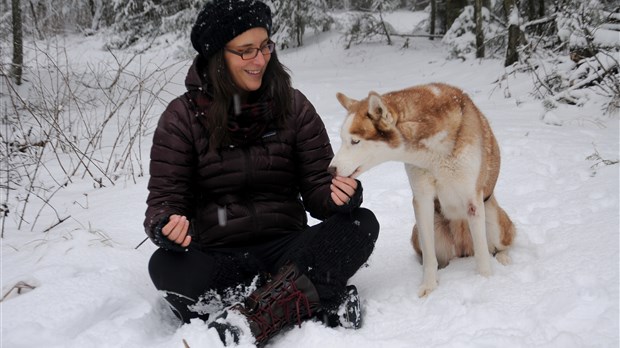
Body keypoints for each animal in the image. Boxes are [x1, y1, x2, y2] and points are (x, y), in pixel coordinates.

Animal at [330, 82, 512, 296]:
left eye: (355, 141)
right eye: (342, 139)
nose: (330, 169)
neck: (432, 153)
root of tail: (463, 249)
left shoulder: (472, 200)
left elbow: (482, 253)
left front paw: (485, 280)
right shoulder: (422, 199)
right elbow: (429, 257)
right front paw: (429, 286)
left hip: (493, 220)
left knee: (497, 246)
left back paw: (503, 258)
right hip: (424, 229)